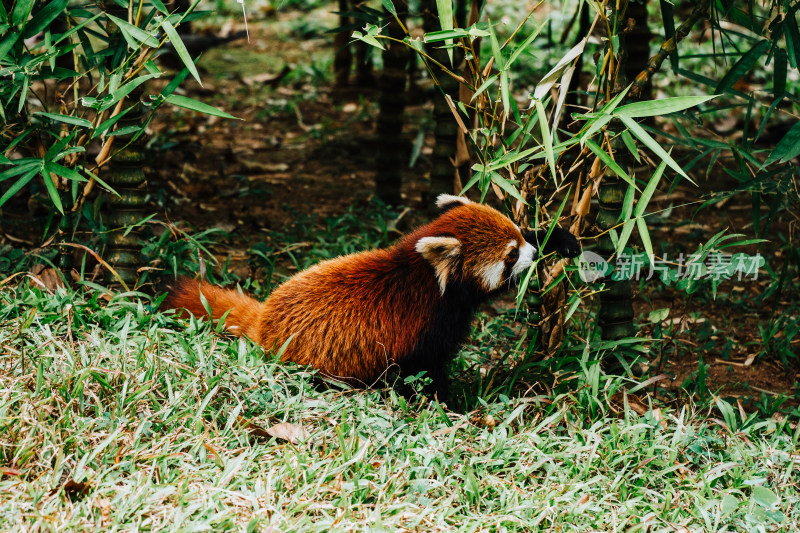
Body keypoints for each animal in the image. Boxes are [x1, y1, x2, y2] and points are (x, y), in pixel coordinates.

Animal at [162, 193, 580, 396]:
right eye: (510, 256)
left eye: (519, 237)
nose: (529, 253)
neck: (431, 276)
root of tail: (265, 319)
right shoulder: (426, 326)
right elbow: (425, 372)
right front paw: (451, 405)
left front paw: (559, 239)